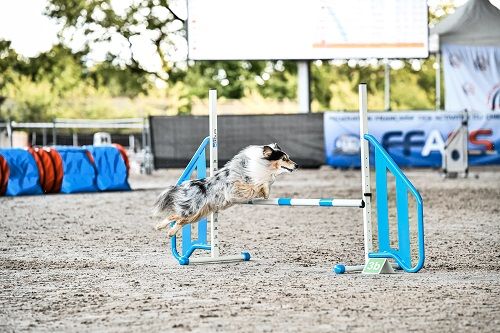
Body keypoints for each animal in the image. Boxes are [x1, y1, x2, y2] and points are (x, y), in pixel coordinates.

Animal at [153, 143, 296, 236]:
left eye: (288, 157)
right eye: (284, 159)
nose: (297, 165)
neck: (261, 165)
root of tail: (183, 185)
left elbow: (263, 184)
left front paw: (266, 192)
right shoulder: (237, 188)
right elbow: (257, 185)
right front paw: (265, 190)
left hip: (197, 214)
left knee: (180, 220)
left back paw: (170, 232)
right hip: (192, 209)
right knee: (174, 216)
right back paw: (159, 226)